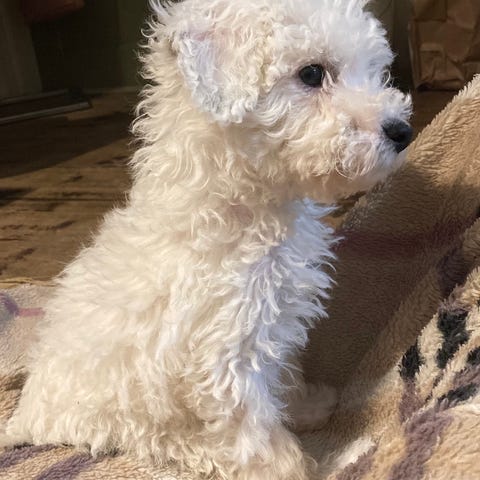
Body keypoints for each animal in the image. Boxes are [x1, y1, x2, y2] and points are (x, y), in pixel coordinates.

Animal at [4, 0, 412, 479]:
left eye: (375, 69)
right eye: (312, 74)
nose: (401, 131)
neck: (244, 201)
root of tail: (23, 417)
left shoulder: (271, 325)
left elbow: (280, 377)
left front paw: (306, 405)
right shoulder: (225, 351)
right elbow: (253, 427)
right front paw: (286, 467)